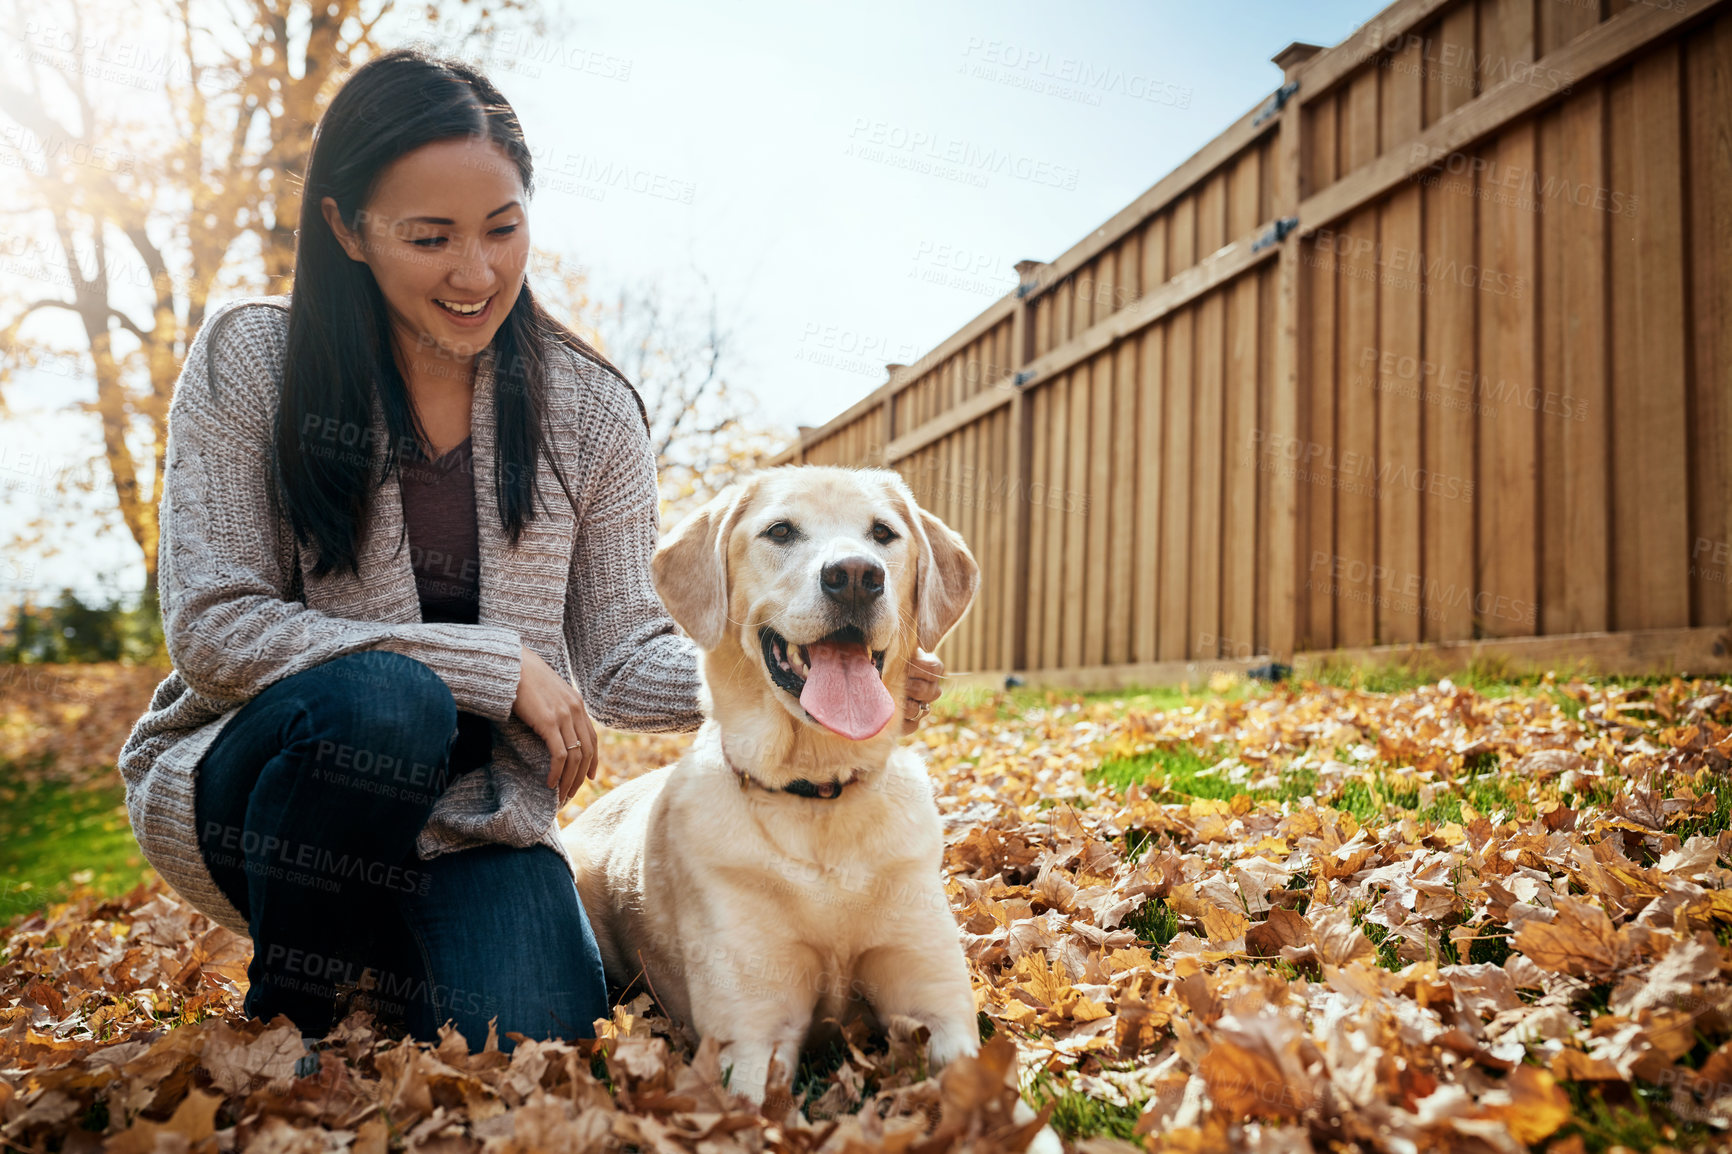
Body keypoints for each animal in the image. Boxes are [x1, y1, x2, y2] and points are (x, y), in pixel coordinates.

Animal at [561, 464, 983, 1095]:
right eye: (780, 531)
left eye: (883, 533)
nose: (855, 576)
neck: (818, 796)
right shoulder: (752, 1039)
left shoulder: (939, 1007)